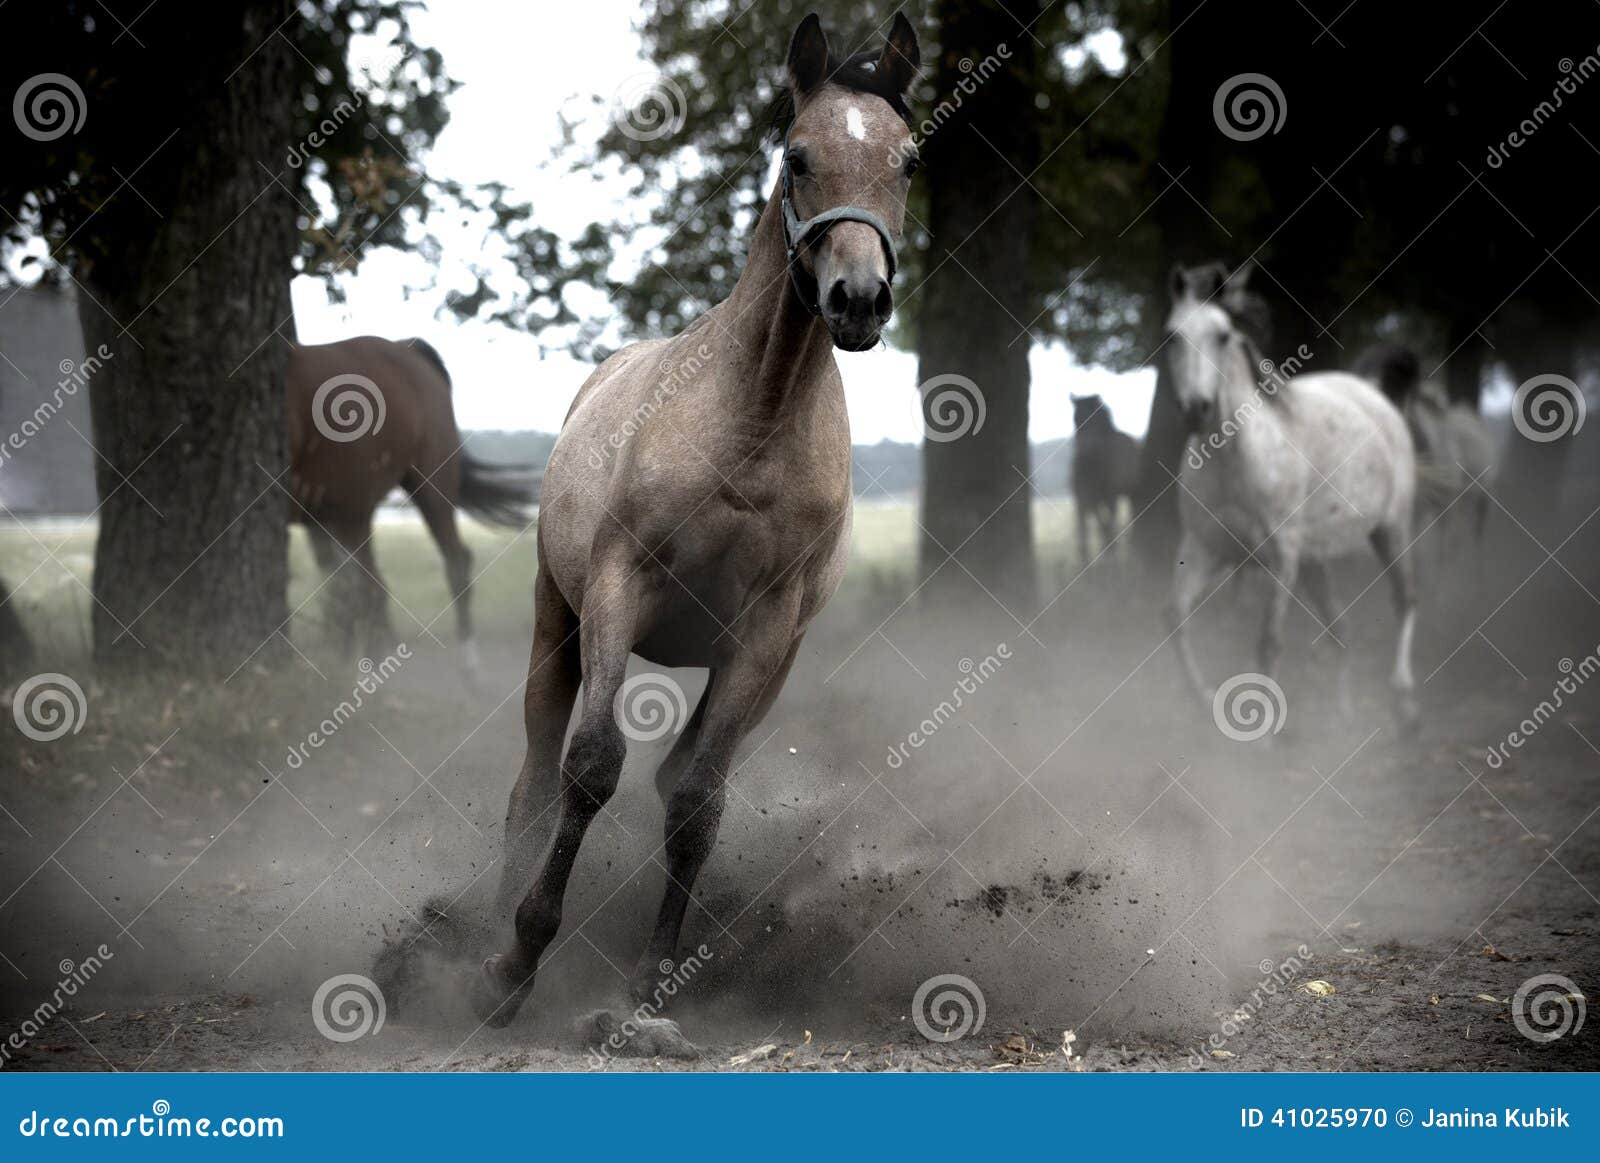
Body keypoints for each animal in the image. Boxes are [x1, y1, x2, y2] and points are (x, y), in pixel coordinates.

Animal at [286, 336, 534, 681]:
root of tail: (407, 347)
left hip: (425, 490)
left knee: (441, 567)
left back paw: (467, 668)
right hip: (339, 516)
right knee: (354, 591)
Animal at [470, 12, 921, 1028]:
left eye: (908, 160)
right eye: (798, 155)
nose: (859, 300)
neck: (750, 417)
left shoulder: (763, 633)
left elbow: (696, 804)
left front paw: (652, 980)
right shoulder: (617, 588)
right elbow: (591, 765)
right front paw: (517, 957)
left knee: (677, 778)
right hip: (557, 623)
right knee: (534, 777)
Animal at [1069, 393, 1142, 565]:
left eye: (1092, 419)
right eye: (1075, 418)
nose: (1083, 449)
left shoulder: (1110, 496)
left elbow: (1106, 524)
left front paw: (1110, 553)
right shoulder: (1086, 500)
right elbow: (1092, 528)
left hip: (1129, 495)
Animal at [1163, 264, 1421, 730]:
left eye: (1223, 335)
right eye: (1172, 335)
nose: (1196, 409)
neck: (1234, 459)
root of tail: (1371, 392)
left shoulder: (1280, 557)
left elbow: (1269, 641)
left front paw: (1265, 737)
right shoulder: (1205, 548)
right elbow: (1174, 618)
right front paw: (1204, 698)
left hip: (1391, 529)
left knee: (1405, 600)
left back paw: (1406, 704)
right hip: (1315, 561)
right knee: (1341, 629)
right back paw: (1343, 716)